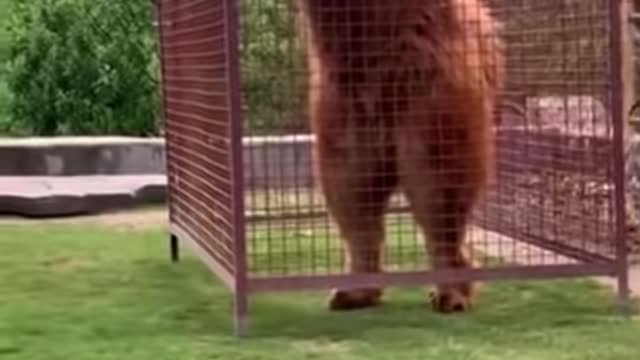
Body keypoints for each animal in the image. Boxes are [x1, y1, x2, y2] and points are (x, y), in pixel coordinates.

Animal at [298, 0, 502, 312]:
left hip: (426, 97)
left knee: (436, 196)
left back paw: (450, 293)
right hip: (347, 115)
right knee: (353, 198)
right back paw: (354, 291)